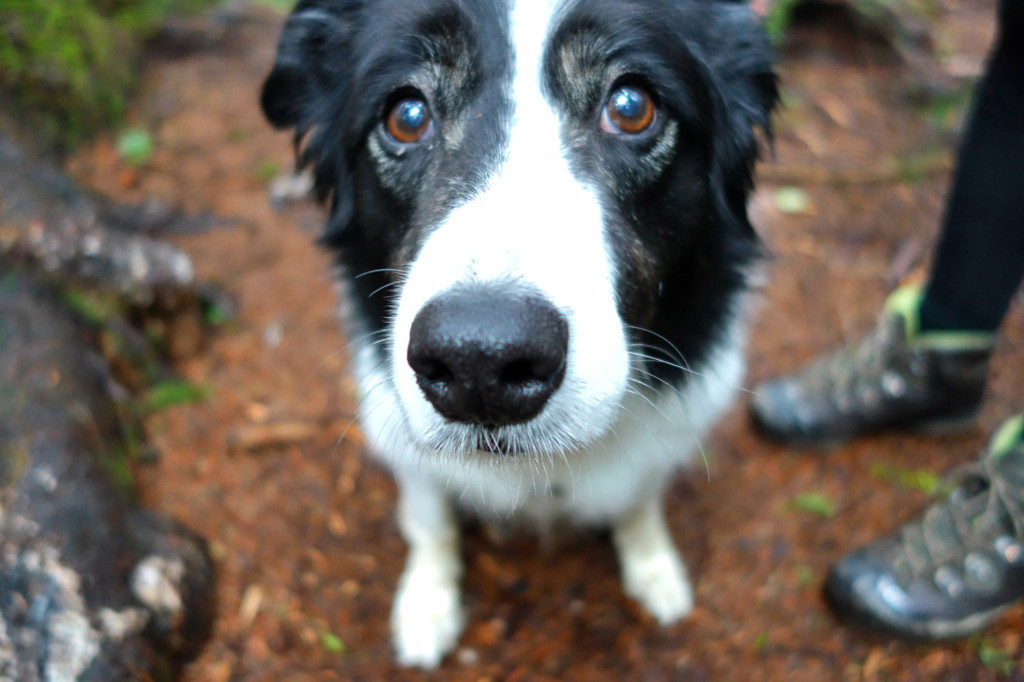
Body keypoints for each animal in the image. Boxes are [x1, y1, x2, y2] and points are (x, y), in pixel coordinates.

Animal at [264, 0, 774, 667]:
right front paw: (426, 606)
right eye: (406, 116)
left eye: (631, 106)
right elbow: (431, 524)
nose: (479, 362)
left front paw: (654, 569)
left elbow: (639, 503)